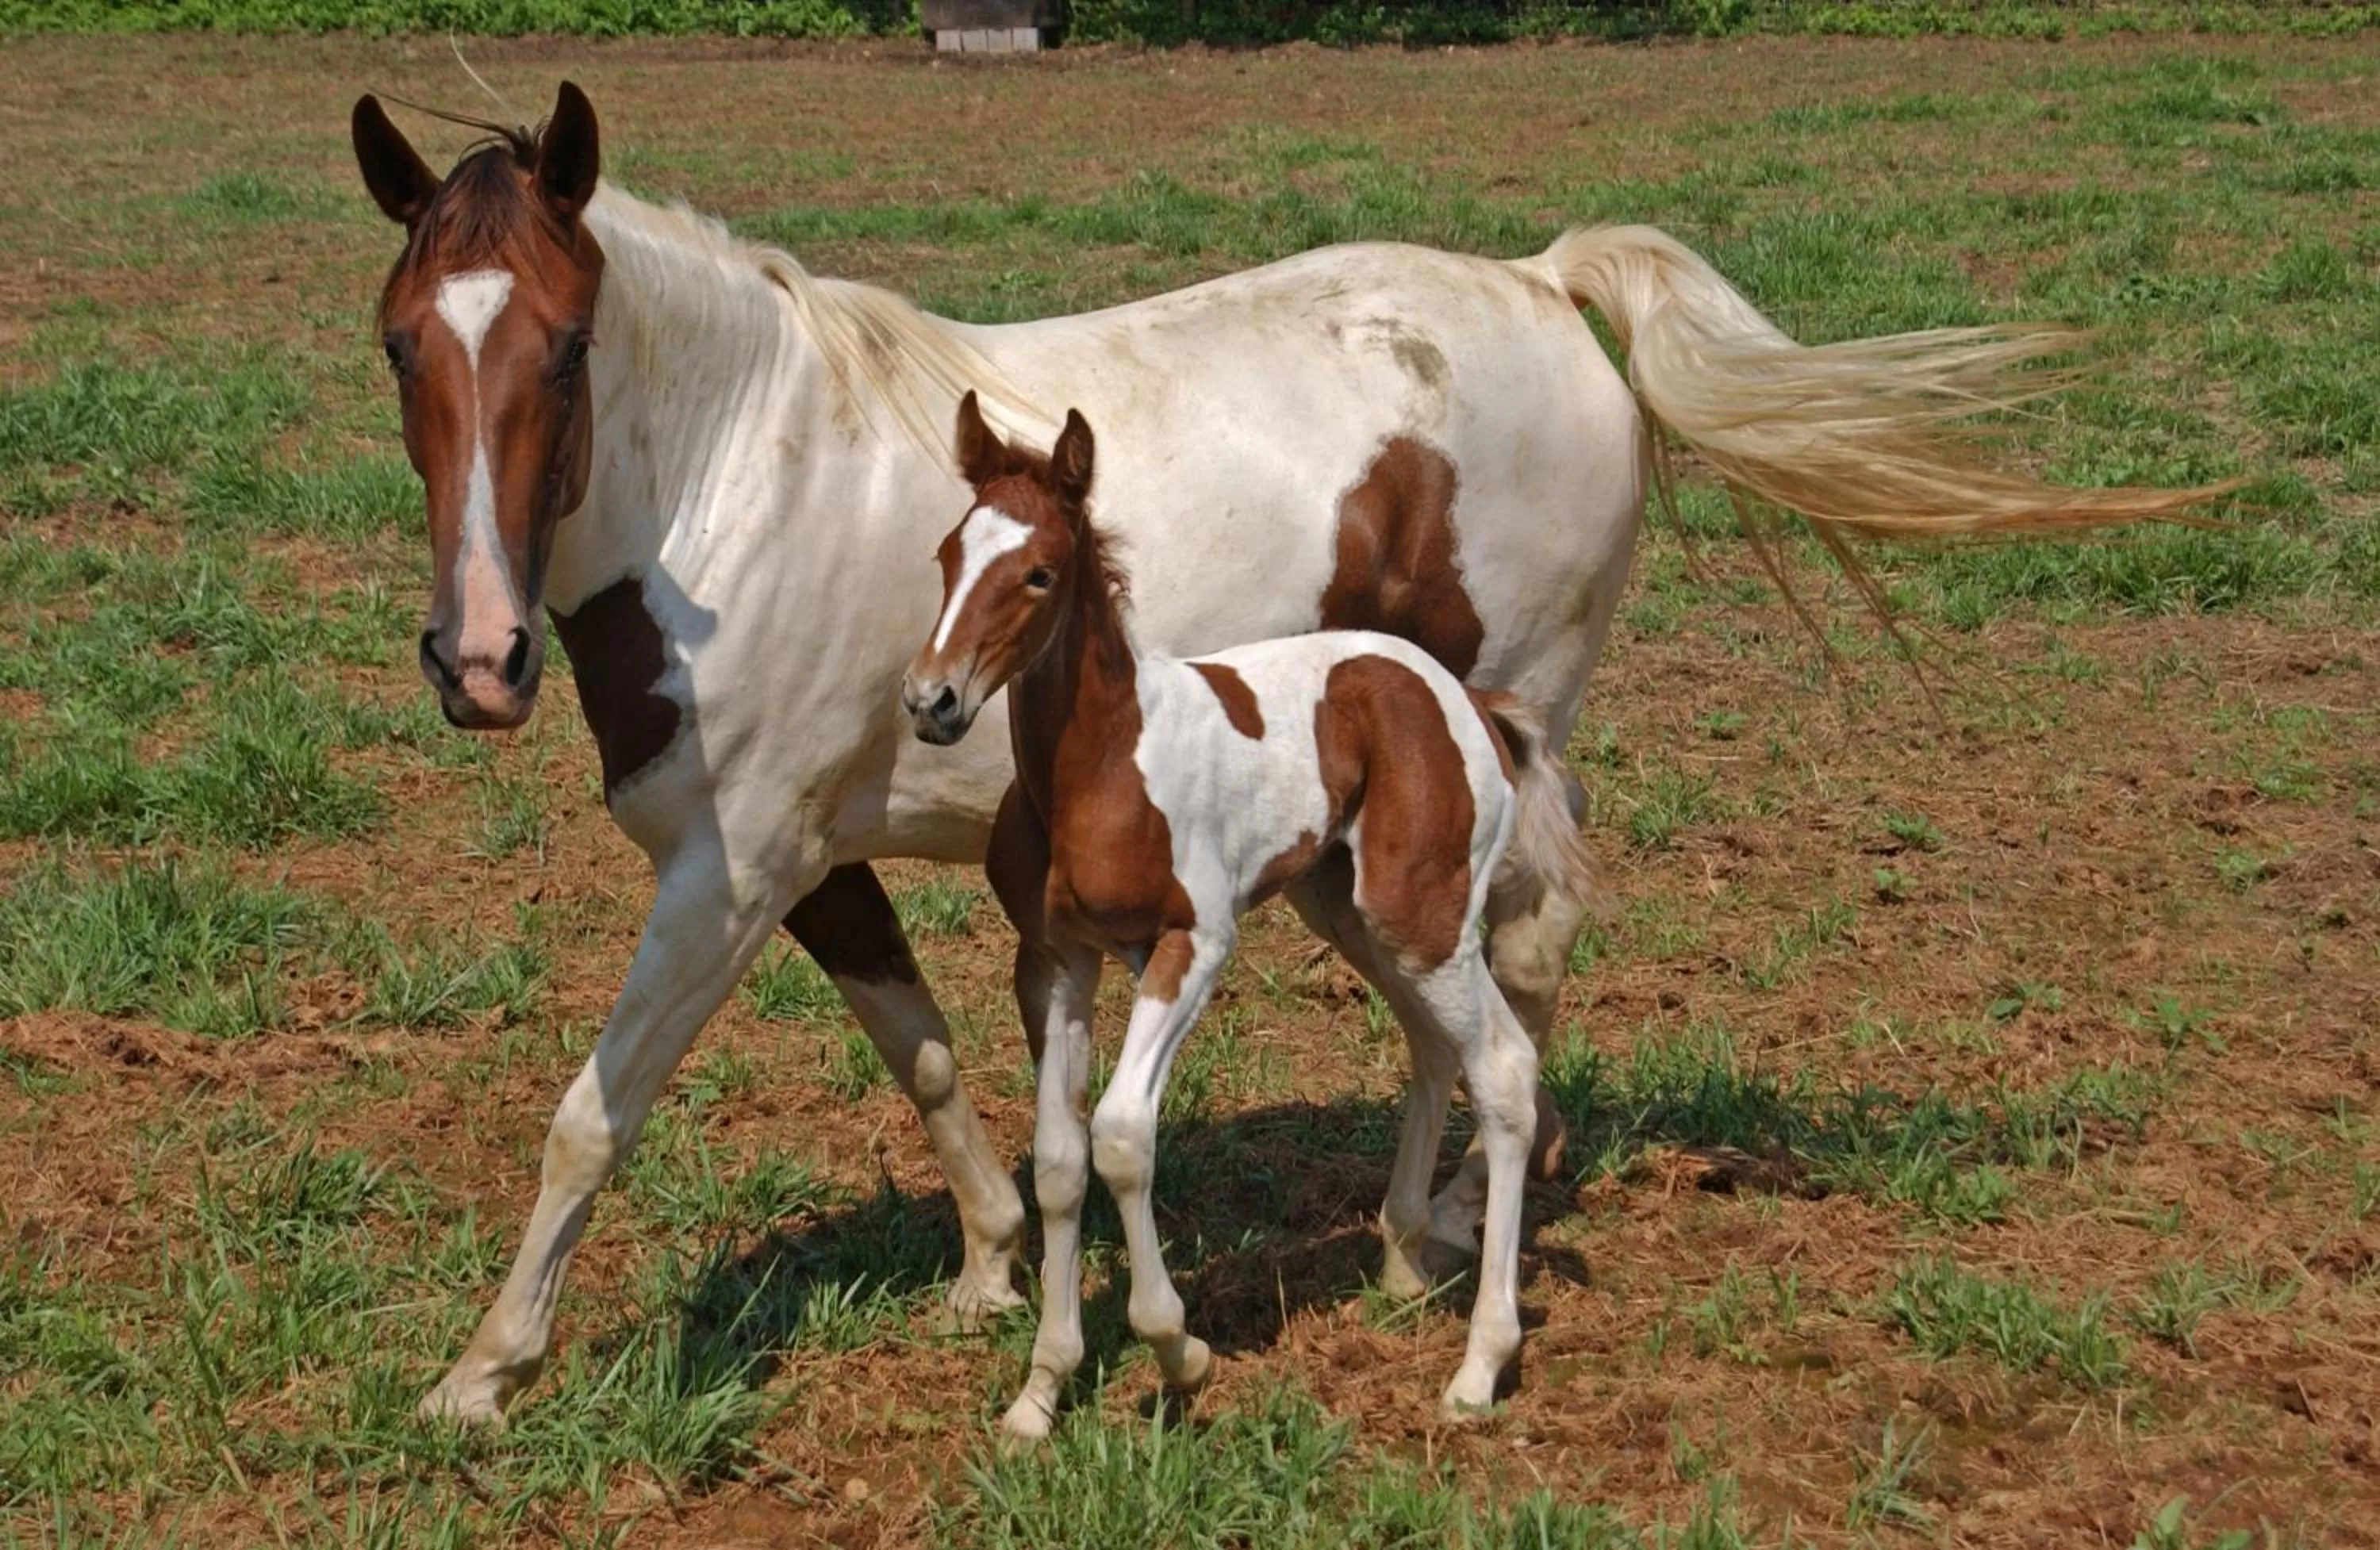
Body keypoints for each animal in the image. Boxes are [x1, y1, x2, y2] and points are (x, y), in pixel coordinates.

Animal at [903, 393, 1602, 1436]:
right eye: (948, 556)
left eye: (1038, 573)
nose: (931, 700)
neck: (1101, 765)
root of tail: (1467, 699)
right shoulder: (1056, 958)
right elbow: (1061, 1159)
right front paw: (1041, 1391)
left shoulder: (1191, 944)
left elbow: (1121, 1136)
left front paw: (1179, 1349)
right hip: (1357, 913)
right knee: (1436, 1050)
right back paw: (1402, 1260)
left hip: (1423, 914)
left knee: (1506, 1070)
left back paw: (1481, 1365)